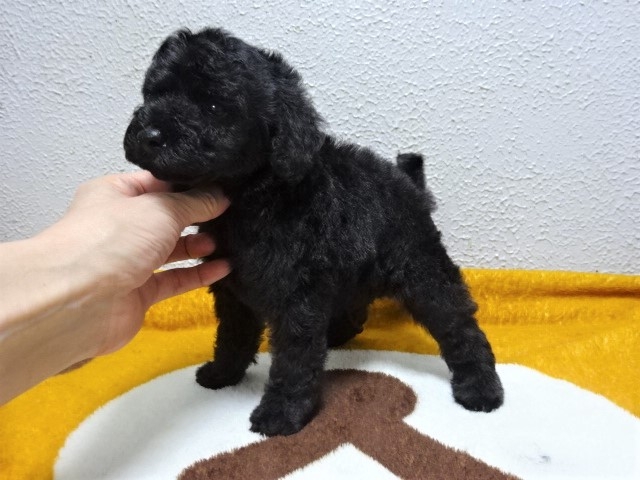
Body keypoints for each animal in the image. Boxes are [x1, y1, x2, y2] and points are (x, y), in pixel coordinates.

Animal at [124, 28, 504, 437]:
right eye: (152, 94)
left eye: (212, 105)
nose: (149, 133)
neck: (253, 198)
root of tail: (408, 183)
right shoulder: (232, 291)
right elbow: (233, 336)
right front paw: (223, 374)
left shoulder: (297, 298)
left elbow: (293, 360)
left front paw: (281, 413)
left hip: (422, 270)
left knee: (459, 325)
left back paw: (480, 388)